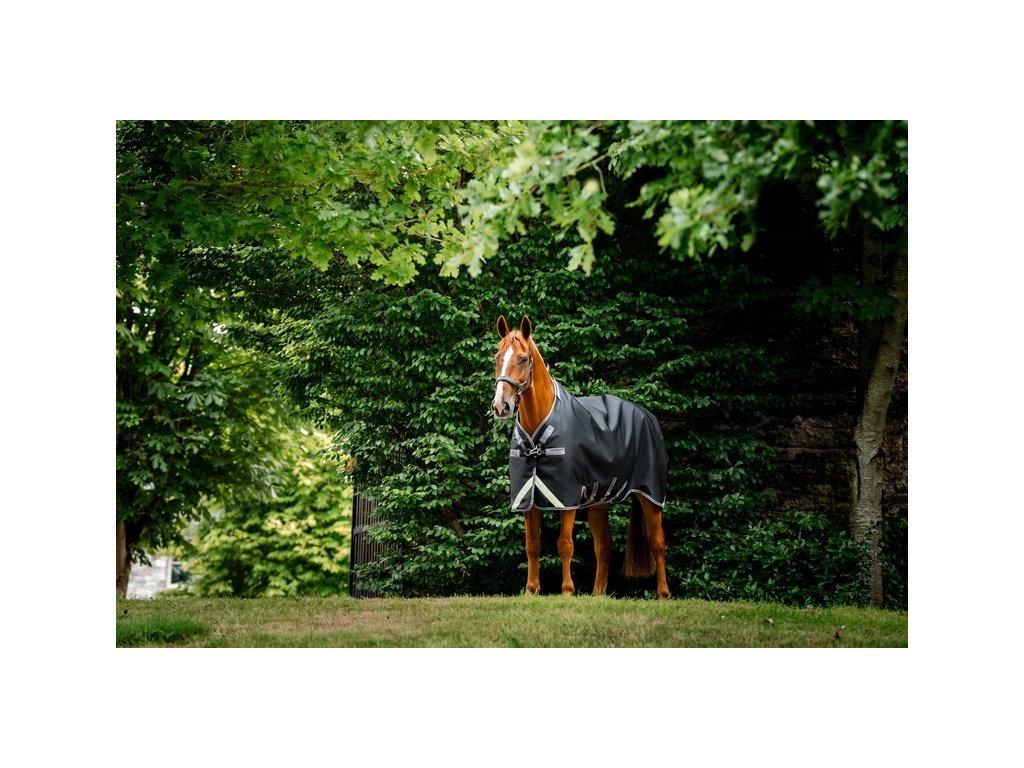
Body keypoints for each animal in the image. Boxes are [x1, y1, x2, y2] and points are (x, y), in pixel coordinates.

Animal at [491, 314, 671, 599]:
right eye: (497, 357)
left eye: (523, 358)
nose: (501, 406)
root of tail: (647, 416)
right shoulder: (528, 499)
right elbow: (532, 544)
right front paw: (531, 590)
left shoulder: (567, 498)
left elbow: (565, 544)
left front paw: (567, 590)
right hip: (599, 502)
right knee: (604, 547)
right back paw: (597, 595)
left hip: (650, 495)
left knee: (657, 542)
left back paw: (663, 594)